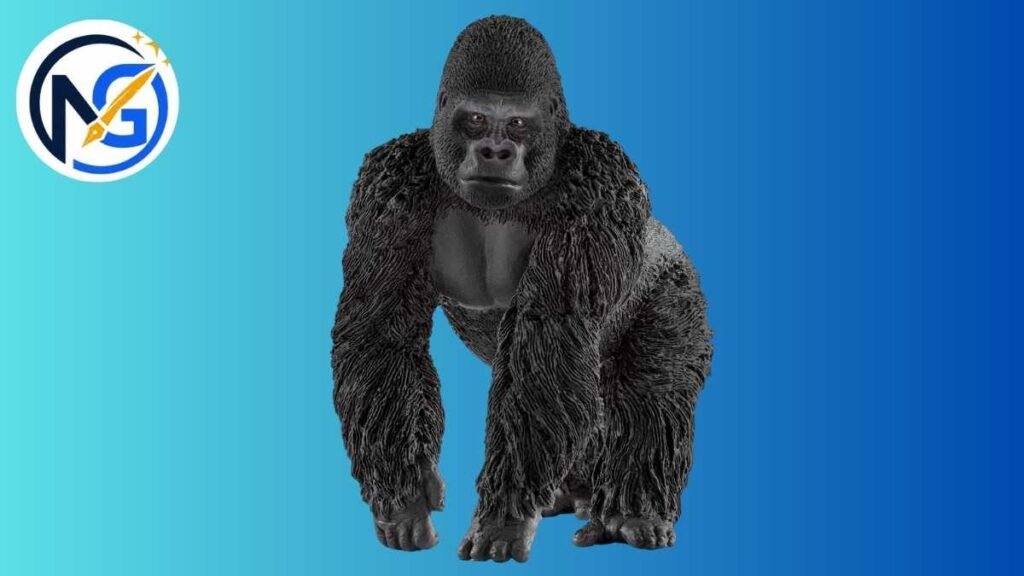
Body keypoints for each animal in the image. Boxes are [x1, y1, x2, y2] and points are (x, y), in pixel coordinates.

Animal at [331, 15, 712, 563]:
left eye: (516, 124)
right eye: (474, 119)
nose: (495, 151)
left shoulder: (601, 183)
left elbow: (551, 334)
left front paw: (503, 516)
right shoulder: (385, 186)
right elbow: (380, 336)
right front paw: (405, 495)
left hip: (677, 286)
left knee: (650, 392)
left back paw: (633, 511)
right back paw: (572, 492)